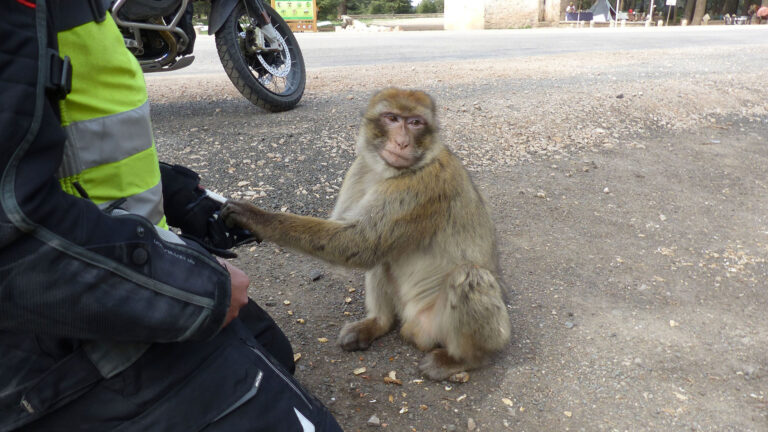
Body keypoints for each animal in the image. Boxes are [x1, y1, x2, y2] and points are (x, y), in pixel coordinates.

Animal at [222, 88, 510, 380]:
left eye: (415, 123)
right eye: (392, 118)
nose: (402, 142)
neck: (387, 172)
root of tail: (414, 327)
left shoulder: (422, 185)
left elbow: (359, 243)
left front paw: (256, 218)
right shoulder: (360, 168)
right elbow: (350, 234)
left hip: (444, 327)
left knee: (469, 276)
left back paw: (464, 359)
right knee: (383, 257)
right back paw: (378, 324)